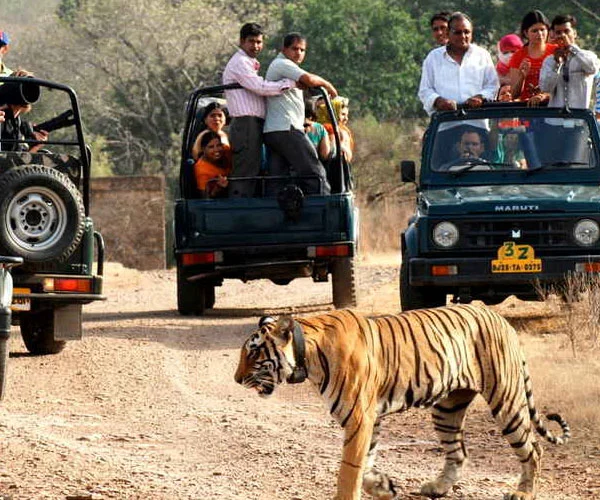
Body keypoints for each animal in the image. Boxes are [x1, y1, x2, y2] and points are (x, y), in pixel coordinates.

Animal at [236, 302, 572, 498]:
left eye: (253, 353)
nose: (237, 380)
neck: (307, 353)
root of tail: (501, 319)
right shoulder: (370, 419)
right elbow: (366, 463)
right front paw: (384, 487)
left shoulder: (359, 417)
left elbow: (350, 468)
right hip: (447, 408)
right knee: (458, 452)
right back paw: (437, 488)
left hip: (506, 399)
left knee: (534, 449)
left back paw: (523, 493)